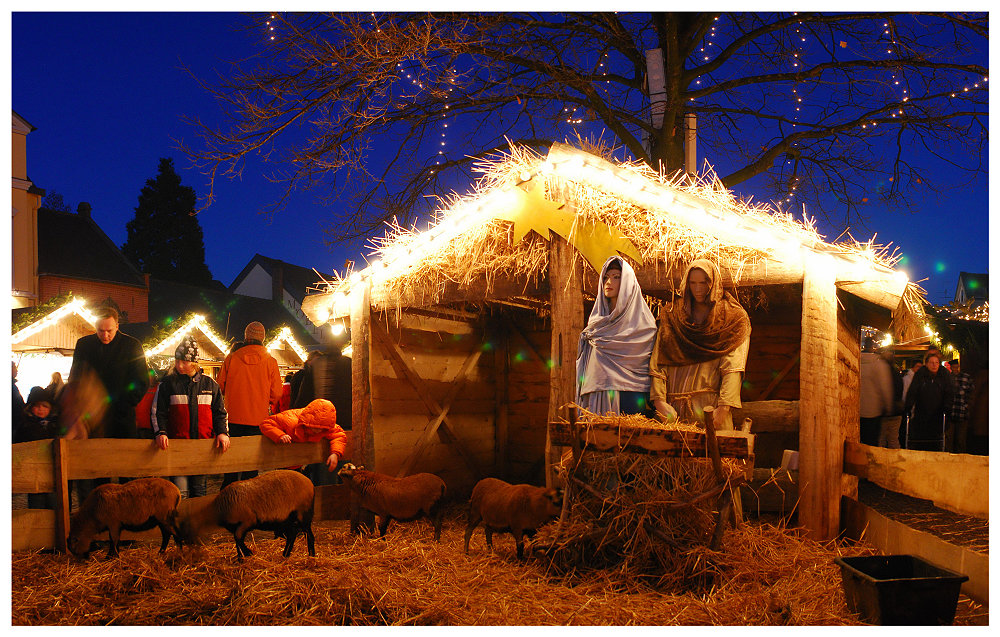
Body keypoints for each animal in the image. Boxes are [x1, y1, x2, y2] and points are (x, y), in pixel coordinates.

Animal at [178, 468, 314, 560]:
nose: (184, 550)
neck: (219, 509)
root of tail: (310, 483)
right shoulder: (236, 527)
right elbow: (237, 541)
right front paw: (240, 558)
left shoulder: (247, 521)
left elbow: (238, 538)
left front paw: (248, 553)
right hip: (287, 520)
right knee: (292, 535)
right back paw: (285, 555)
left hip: (303, 514)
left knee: (309, 535)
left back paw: (311, 556)